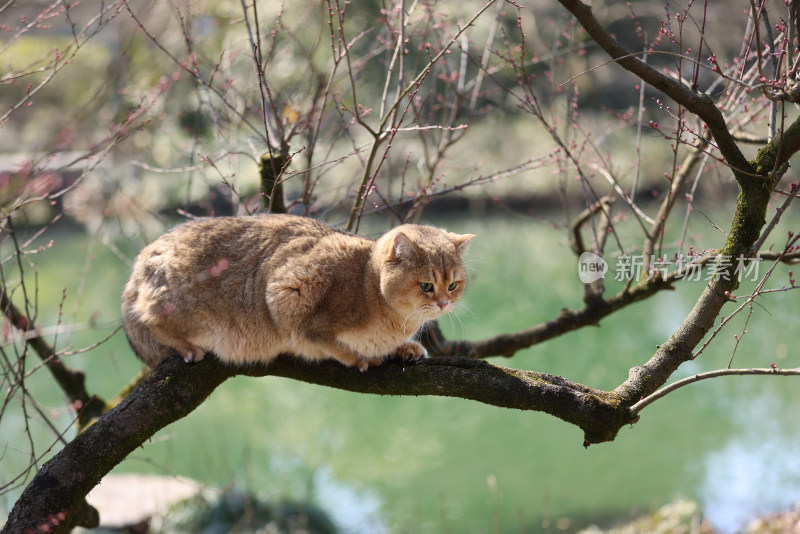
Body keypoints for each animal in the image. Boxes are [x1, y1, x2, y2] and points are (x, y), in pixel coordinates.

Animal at [122, 214, 476, 372]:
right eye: (426, 285)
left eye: (453, 285)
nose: (443, 303)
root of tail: (145, 254)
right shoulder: (288, 289)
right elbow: (317, 337)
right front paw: (358, 357)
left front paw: (404, 348)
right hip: (180, 306)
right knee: (149, 315)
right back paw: (187, 346)